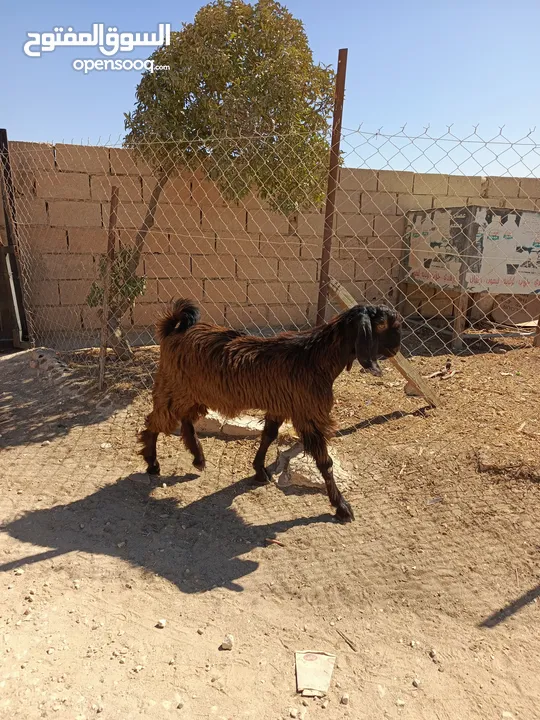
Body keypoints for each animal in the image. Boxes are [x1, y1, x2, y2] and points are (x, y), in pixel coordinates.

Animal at [139, 298, 400, 524]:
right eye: (384, 324)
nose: (396, 348)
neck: (315, 358)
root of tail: (173, 330)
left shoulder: (279, 406)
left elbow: (268, 436)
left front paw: (259, 471)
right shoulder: (308, 413)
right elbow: (325, 462)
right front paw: (342, 507)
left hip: (192, 393)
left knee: (184, 420)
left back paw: (198, 457)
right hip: (174, 386)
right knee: (154, 421)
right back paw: (153, 463)